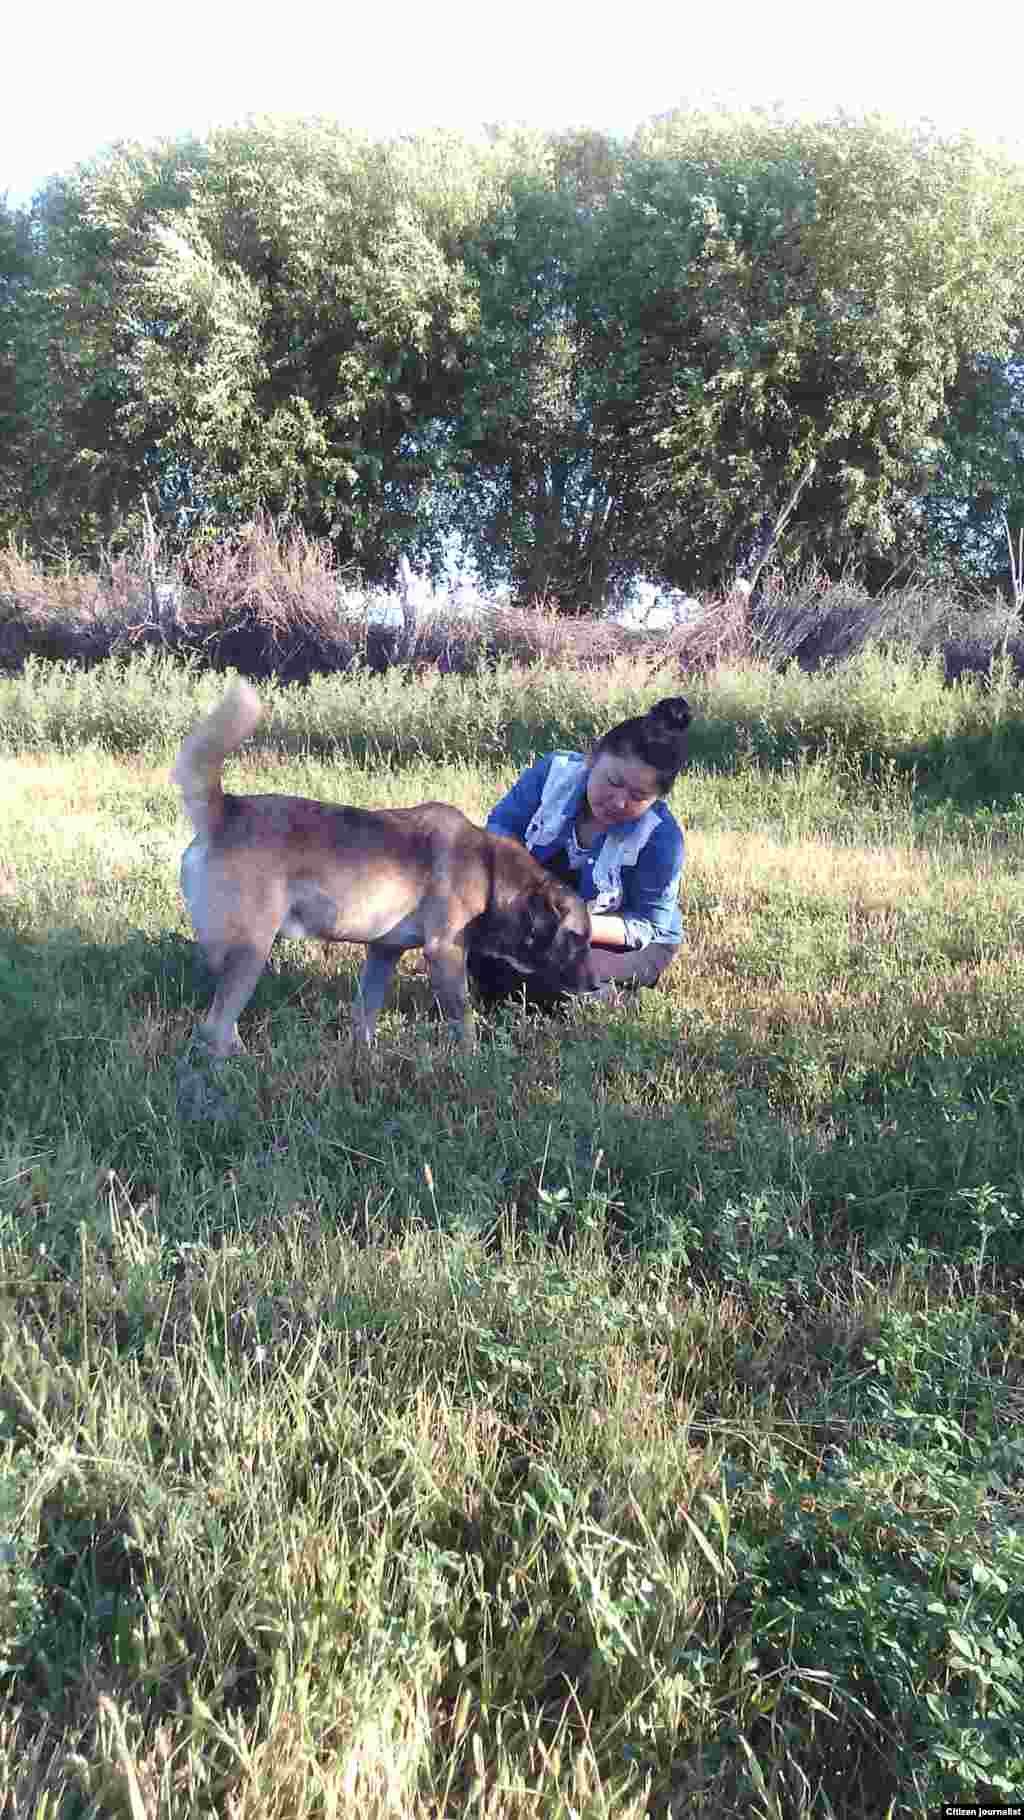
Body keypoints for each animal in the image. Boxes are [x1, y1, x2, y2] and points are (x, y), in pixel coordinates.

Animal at [174, 680, 592, 1055]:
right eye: (575, 937)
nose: (594, 986)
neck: (489, 872)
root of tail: (227, 809)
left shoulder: (383, 952)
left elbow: (365, 1013)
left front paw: (366, 1055)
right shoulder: (444, 953)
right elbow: (464, 1020)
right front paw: (472, 1061)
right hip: (251, 949)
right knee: (215, 1028)